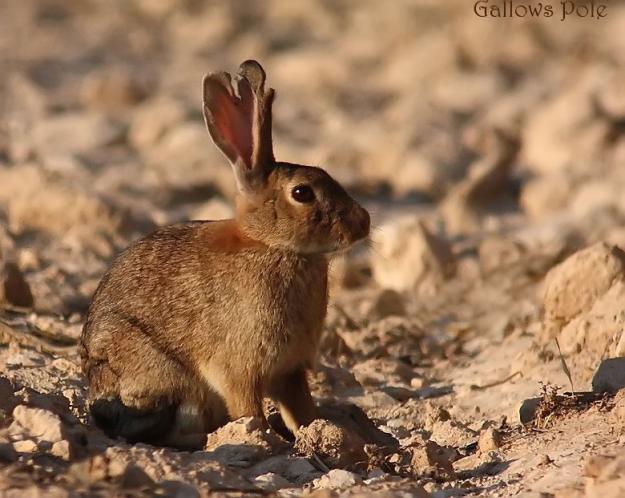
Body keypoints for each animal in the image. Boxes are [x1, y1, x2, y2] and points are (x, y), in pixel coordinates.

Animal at [79, 60, 370, 450]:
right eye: (302, 193)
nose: (363, 223)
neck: (272, 245)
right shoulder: (239, 369)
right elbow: (248, 408)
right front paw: (265, 439)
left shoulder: (291, 371)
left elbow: (302, 411)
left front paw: (320, 433)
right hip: (161, 375)